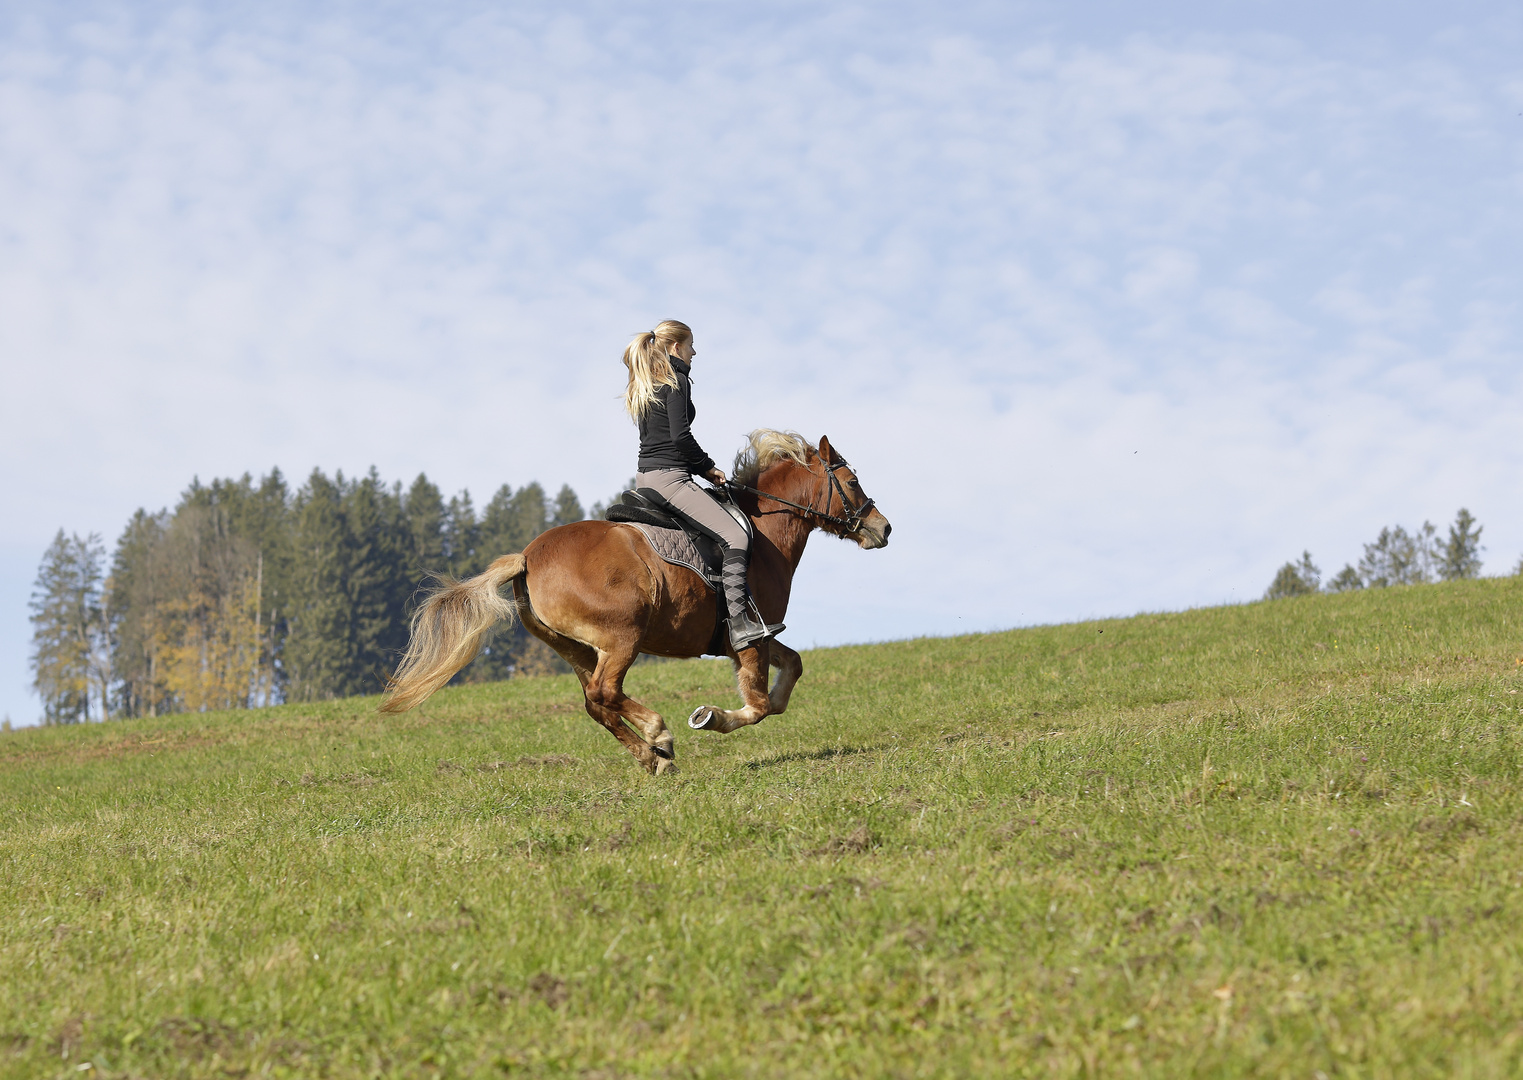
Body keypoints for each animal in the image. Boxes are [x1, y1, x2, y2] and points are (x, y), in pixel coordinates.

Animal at [379, 429, 889, 773]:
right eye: (852, 480)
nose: (882, 528)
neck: (763, 534)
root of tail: (527, 558)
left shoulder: (747, 639)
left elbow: (792, 670)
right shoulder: (750, 637)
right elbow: (759, 705)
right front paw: (711, 718)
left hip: (578, 648)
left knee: (596, 701)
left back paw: (652, 752)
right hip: (622, 638)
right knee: (604, 693)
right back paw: (659, 736)